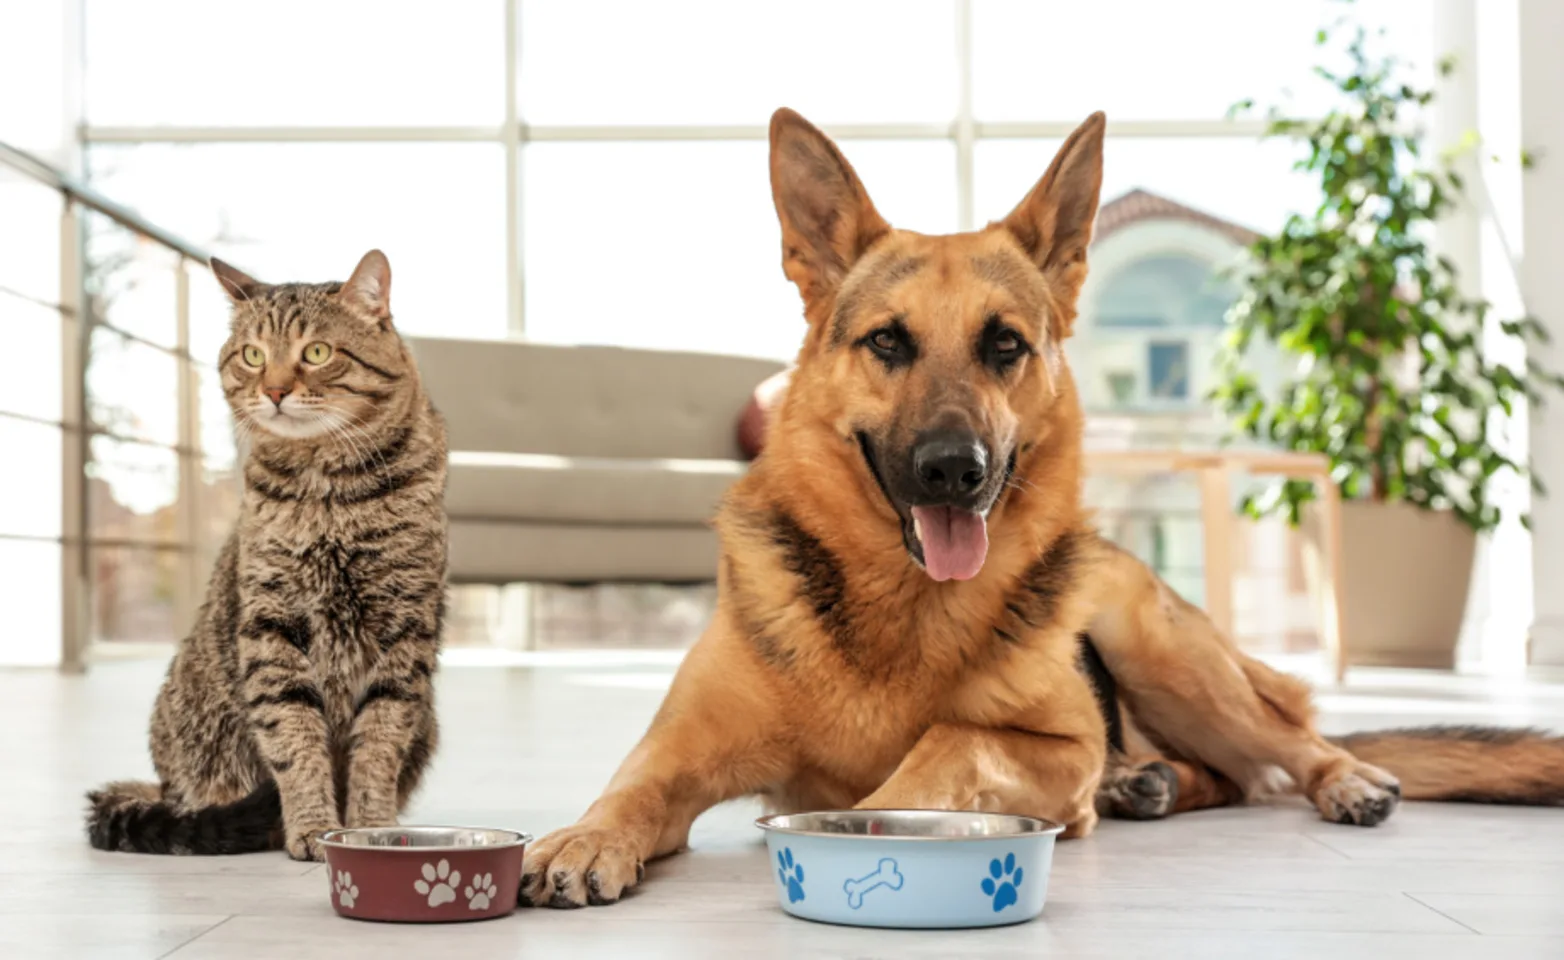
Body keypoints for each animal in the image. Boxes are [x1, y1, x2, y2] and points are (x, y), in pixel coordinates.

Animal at [85, 250, 450, 863]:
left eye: (317, 352)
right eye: (253, 356)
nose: (275, 390)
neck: (329, 492)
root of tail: (161, 788)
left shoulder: (406, 632)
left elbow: (379, 743)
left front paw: (370, 826)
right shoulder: (272, 627)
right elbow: (293, 736)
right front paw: (313, 827)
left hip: (430, 718)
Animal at [522, 111, 1564, 913]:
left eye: (1005, 345)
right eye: (888, 343)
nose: (955, 470)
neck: (898, 603)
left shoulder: (1056, 750)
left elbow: (950, 740)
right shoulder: (673, 755)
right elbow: (628, 794)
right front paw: (579, 838)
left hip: (1160, 649)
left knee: (1288, 749)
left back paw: (1339, 780)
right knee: (1226, 778)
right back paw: (1151, 782)